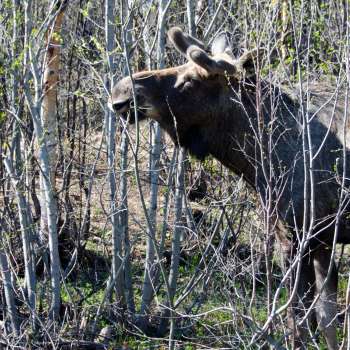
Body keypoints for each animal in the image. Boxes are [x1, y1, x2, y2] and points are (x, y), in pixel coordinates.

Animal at [113, 26, 350, 348]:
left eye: (189, 80)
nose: (121, 90)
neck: (261, 156)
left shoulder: (299, 237)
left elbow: (298, 323)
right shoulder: (318, 240)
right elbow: (325, 321)